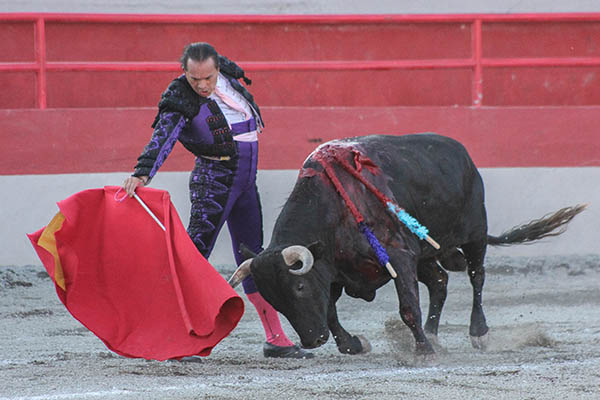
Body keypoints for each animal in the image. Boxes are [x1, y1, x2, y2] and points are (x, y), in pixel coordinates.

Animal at [227, 134, 584, 360]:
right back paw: (434, 334)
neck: (334, 208)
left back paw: (477, 333)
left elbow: (408, 307)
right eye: (273, 299)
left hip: (474, 235)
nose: (313, 340)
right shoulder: (337, 270)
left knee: (477, 278)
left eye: (299, 287)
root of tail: (463, 155)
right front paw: (354, 344)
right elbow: (329, 311)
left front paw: (423, 350)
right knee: (439, 282)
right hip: (424, 255)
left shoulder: (398, 257)